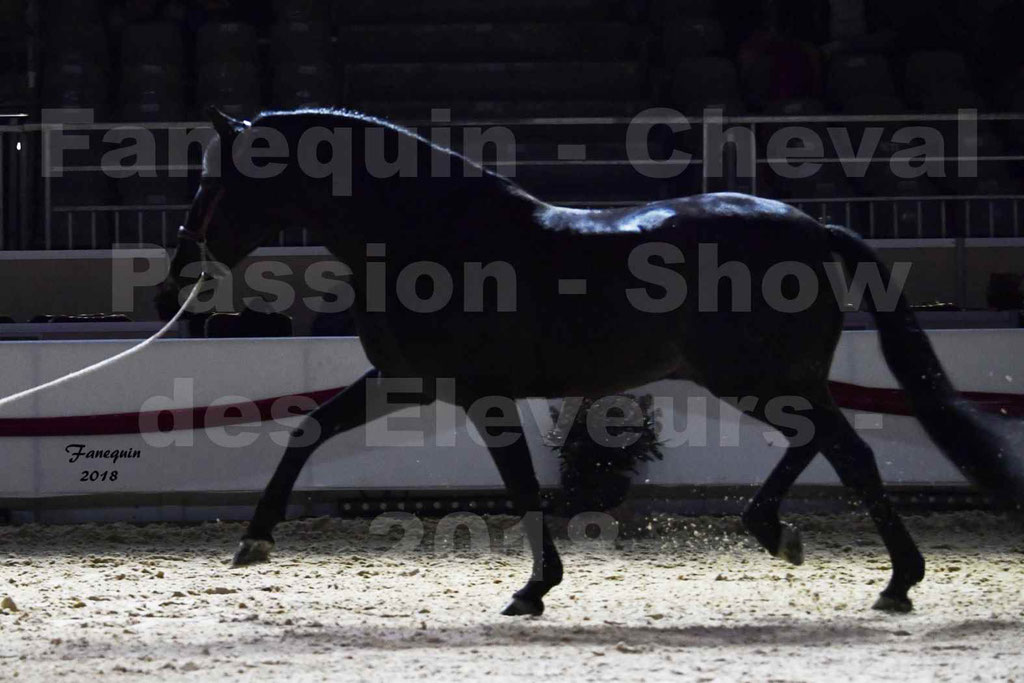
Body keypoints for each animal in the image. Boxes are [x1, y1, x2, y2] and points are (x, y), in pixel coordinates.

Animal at [163, 109, 1019, 618]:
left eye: (218, 178)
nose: (179, 268)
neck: (432, 237)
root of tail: (814, 228)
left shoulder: (481, 395)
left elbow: (520, 484)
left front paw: (533, 588)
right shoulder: (409, 382)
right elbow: (308, 430)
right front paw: (254, 540)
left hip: (760, 379)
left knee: (848, 450)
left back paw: (879, 574)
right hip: (773, 381)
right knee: (834, 447)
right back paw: (811, 546)